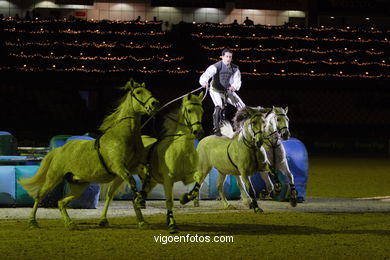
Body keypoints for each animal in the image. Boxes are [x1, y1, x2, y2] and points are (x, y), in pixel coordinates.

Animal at [17, 79, 158, 230]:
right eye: (138, 92)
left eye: (149, 91)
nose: (154, 103)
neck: (124, 137)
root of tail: (59, 150)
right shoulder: (120, 168)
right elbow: (130, 184)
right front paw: (140, 202)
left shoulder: (131, 169)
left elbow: (137, 179)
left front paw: (141, 220)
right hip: (53, 178)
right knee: (40, 196)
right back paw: (33, 222)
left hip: (79, 185)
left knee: (61, 202)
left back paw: (70, 223)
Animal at [98, 92, 204, 234]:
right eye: (189, 110)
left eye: (202, 111)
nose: (198, 132)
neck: (181, 149)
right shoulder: (168, 179)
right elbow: (169, 201)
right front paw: (172, 224)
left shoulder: (186, 176)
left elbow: (199, 178)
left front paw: (185, 198)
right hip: (121, 174)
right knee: (110, 193)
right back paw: (103, 219)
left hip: (151, 182)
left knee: (135, 199)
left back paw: (142, 222)